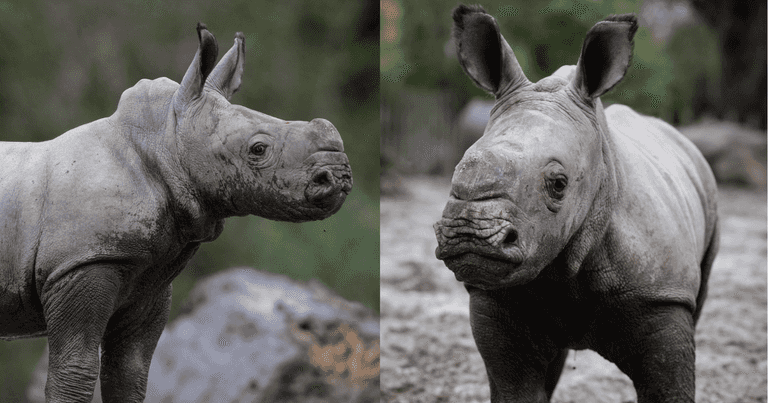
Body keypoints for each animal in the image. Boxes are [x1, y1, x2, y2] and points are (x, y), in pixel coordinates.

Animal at [0, 23, 352, 402]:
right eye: (258, 149)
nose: (339, 176)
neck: (165, 142)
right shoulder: (83, 260)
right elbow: (75, 372)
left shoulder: (148, 278)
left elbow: (129, 374)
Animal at [434, 5, 718, 402]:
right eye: (459, 168)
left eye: (558, 184)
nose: (469, 235)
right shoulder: (496, 300)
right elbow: (516, 386)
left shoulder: (663, 294)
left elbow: (669, 385)